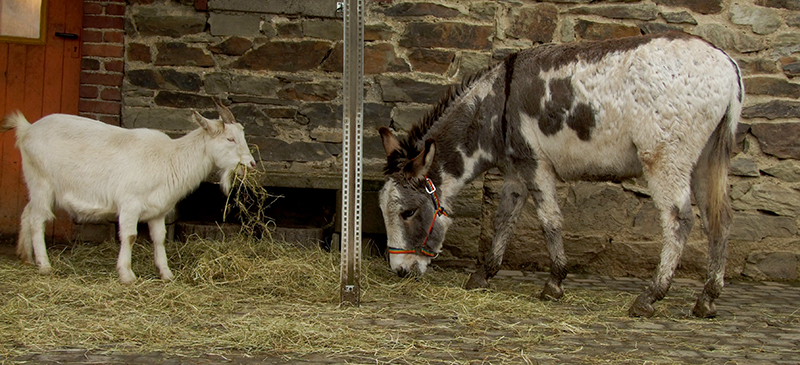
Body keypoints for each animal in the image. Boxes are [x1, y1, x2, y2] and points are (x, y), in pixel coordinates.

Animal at [4, 101, 255, 282]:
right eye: (230, 138)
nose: (251, 164)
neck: (169, 158)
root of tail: (27, 129)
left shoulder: (158, 210)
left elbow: (159, 238)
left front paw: (166, 273)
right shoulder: (130, 204)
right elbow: (130, 236)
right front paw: (126, 274)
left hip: (40, 187)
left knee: (28, 212)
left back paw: (26, 257)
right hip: (42, 182)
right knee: (38, 219)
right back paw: (44, 265)